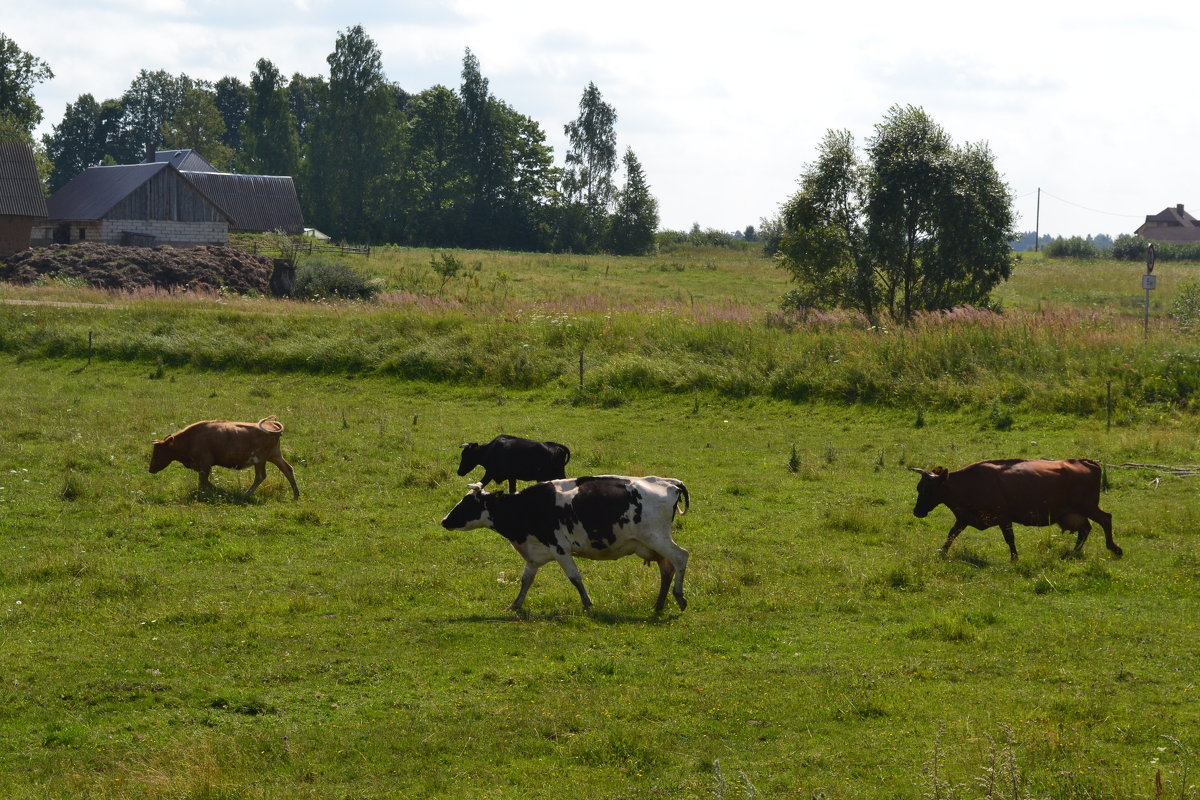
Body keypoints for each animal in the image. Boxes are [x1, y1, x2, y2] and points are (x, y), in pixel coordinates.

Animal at [148, 417, 300, 496]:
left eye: (158, 452)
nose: (150, 469)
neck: (191, 439)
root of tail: (272, 425)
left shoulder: (205, 464)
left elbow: (203, 481)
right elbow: (203, 481)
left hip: (260, 460)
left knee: (260, 476)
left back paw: (246, 494)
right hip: (275, 456)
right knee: (288, 469)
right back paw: (296, 495)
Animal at [441, 474, 691, 614]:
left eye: (467, 504)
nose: (444, 520)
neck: (527, 507)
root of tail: (670, 482)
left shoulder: (560, 548)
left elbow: (575, 577)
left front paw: (588, 604)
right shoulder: (535, 553)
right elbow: (526, 580)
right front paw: (514, 605)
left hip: (657, 538)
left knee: (681, 557)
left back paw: (679, 596)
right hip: (651, 544)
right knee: (666, 569)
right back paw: (659, 604)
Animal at [912, 455, 1118, 563]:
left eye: (928, 489)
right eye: (918, 488)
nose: (917, 512)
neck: (969, 484)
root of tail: (1087, 462)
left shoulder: (1004, 517)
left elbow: (1009, 539)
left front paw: (1014, 558)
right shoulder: (963, 518)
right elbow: (951, 534)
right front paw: (942, 552)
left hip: (1088, 507)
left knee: (1105, 518)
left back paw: (1113, 548)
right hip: (1074, 513)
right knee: (1085, 529)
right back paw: (1074, 552)